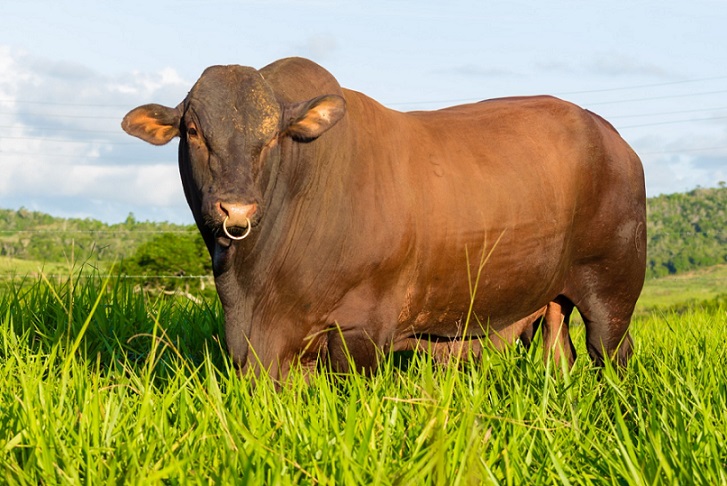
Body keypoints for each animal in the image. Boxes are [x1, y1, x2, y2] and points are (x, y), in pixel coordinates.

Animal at [122, 57, 644, 382]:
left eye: (272, 137)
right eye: (193, 130)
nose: (236, 209)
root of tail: (611, 135)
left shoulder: (360, 330)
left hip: (612, 293)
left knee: (611, 355)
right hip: (553, 298)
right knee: (561, 354)